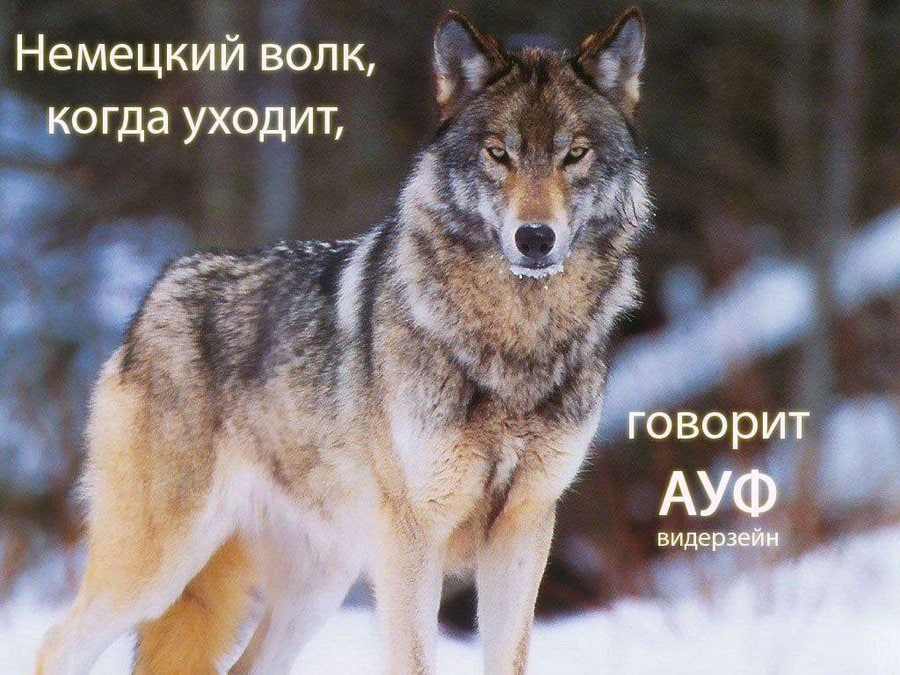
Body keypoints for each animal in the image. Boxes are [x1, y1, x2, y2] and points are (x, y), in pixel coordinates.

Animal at [37, 7, 650, 674]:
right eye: (498, 154)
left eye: (575, 154)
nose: (535, 238)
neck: (515, 342)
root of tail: (156, 292)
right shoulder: (413, 538)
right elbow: (415, 661)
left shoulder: (524, 529)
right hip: (158, 570)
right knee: (54, 646)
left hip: (317, 587)